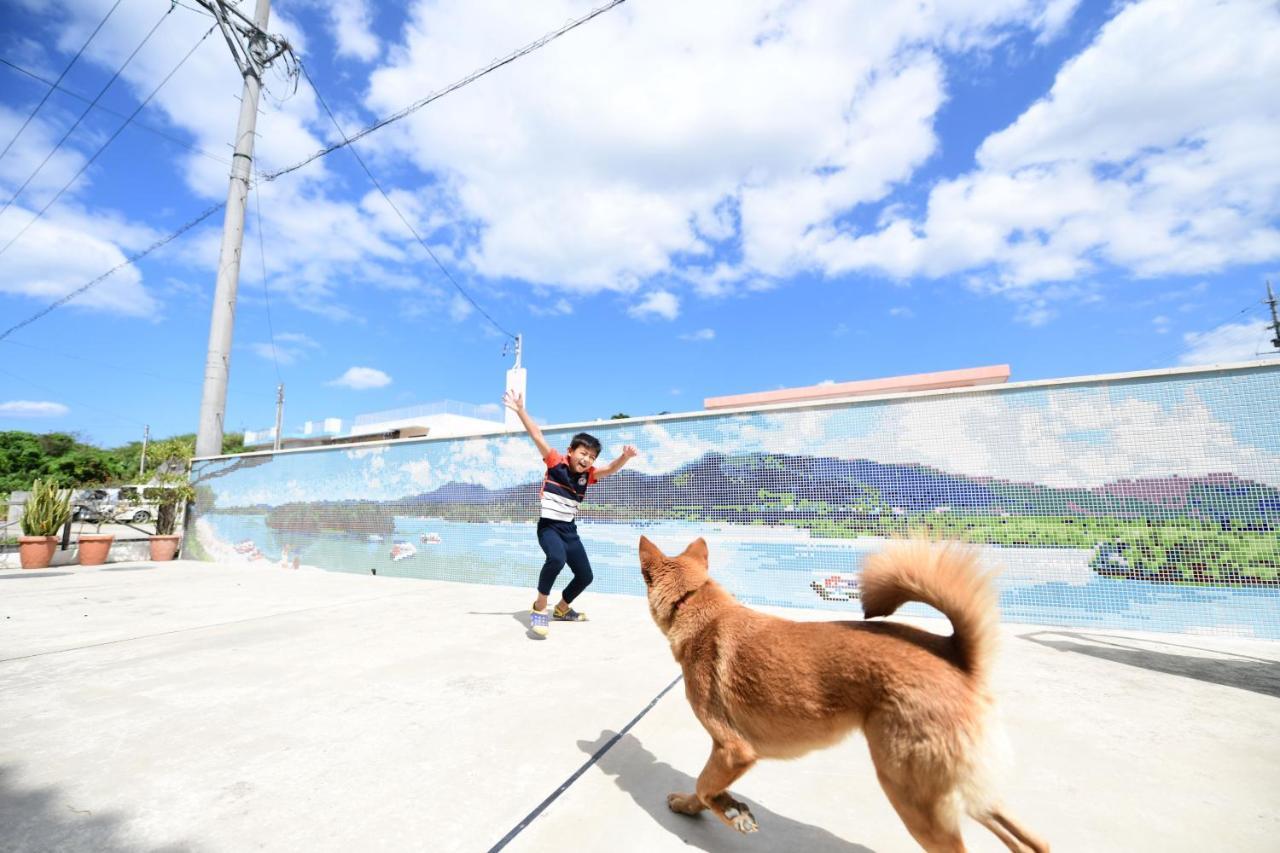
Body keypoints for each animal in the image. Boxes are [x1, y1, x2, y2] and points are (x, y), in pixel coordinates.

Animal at [640, 535, 1049, 845]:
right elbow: (701, 789)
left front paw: (729, 811)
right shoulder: (726, 755)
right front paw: (691, 805)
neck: (696, 604)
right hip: (959, 789)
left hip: (911, 796)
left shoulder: (732, 751)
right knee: (1033, 841)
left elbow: (705, 786)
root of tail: (958, 655)